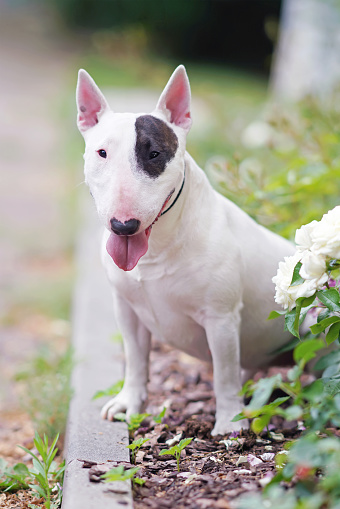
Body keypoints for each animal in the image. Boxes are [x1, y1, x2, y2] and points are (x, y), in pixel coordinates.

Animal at [75, 65, 294, 434]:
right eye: (101, 153)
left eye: (154, 154)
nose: (123, 226)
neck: (155, 252)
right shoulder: (127, 309)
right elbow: (136, 360)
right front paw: (128, 403)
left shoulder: (221, 318)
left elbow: (223, 375)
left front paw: (228, 423)